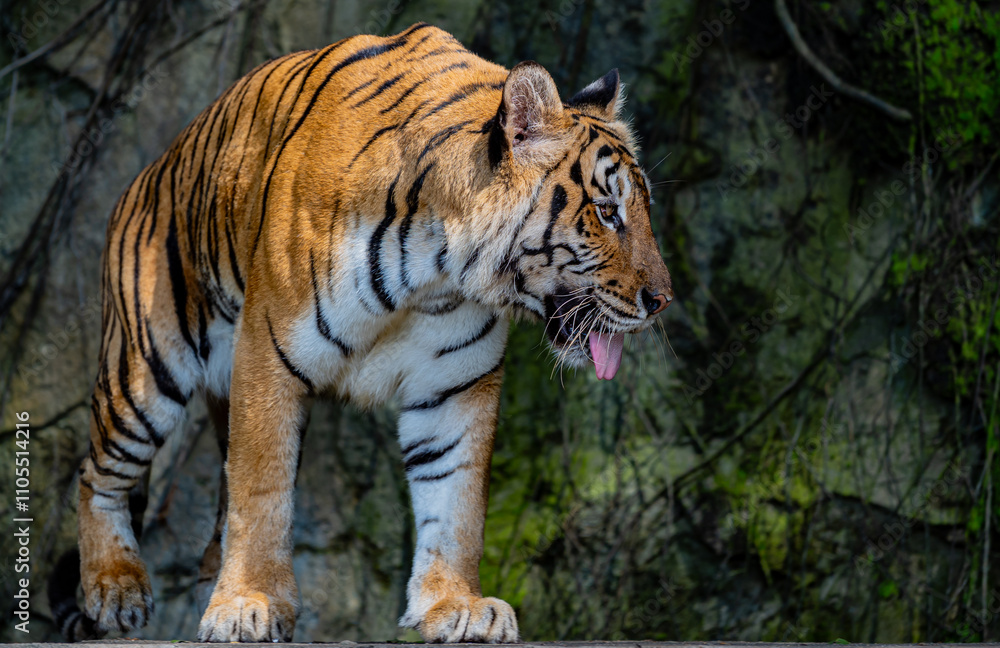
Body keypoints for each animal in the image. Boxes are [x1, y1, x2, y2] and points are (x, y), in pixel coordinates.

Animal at [48, 22, 673, 643]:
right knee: (96, 473)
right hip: (146, 368)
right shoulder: (267, 354)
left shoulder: (455, 385)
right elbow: (262, 488)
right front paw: (249, 602)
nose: (662, 300)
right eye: (608, 212)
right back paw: (114, 587)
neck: (436, 271)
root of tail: (150, 172)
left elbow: (456, 499)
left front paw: (456, 604)